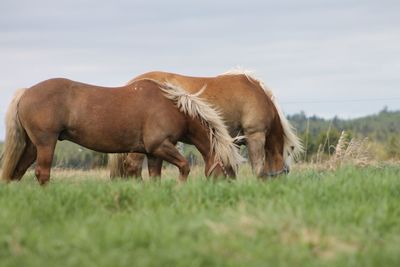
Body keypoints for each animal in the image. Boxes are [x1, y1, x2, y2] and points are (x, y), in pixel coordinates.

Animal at [0, 78, 244, 185]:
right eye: (228, 169)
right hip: (46, 143)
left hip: (32, 146)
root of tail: (26, 92)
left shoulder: (154, 154)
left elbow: (155, 178)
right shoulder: (160, 146)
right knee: (42, 173)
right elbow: (184, 166)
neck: (173, 106)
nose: (228, 190)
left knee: (18, 171)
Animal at [109, 70, 304, 180]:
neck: (258, 94)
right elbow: (258, 169)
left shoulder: (231, 143)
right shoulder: (255, 135)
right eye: (285, 173)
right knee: (133, 166)